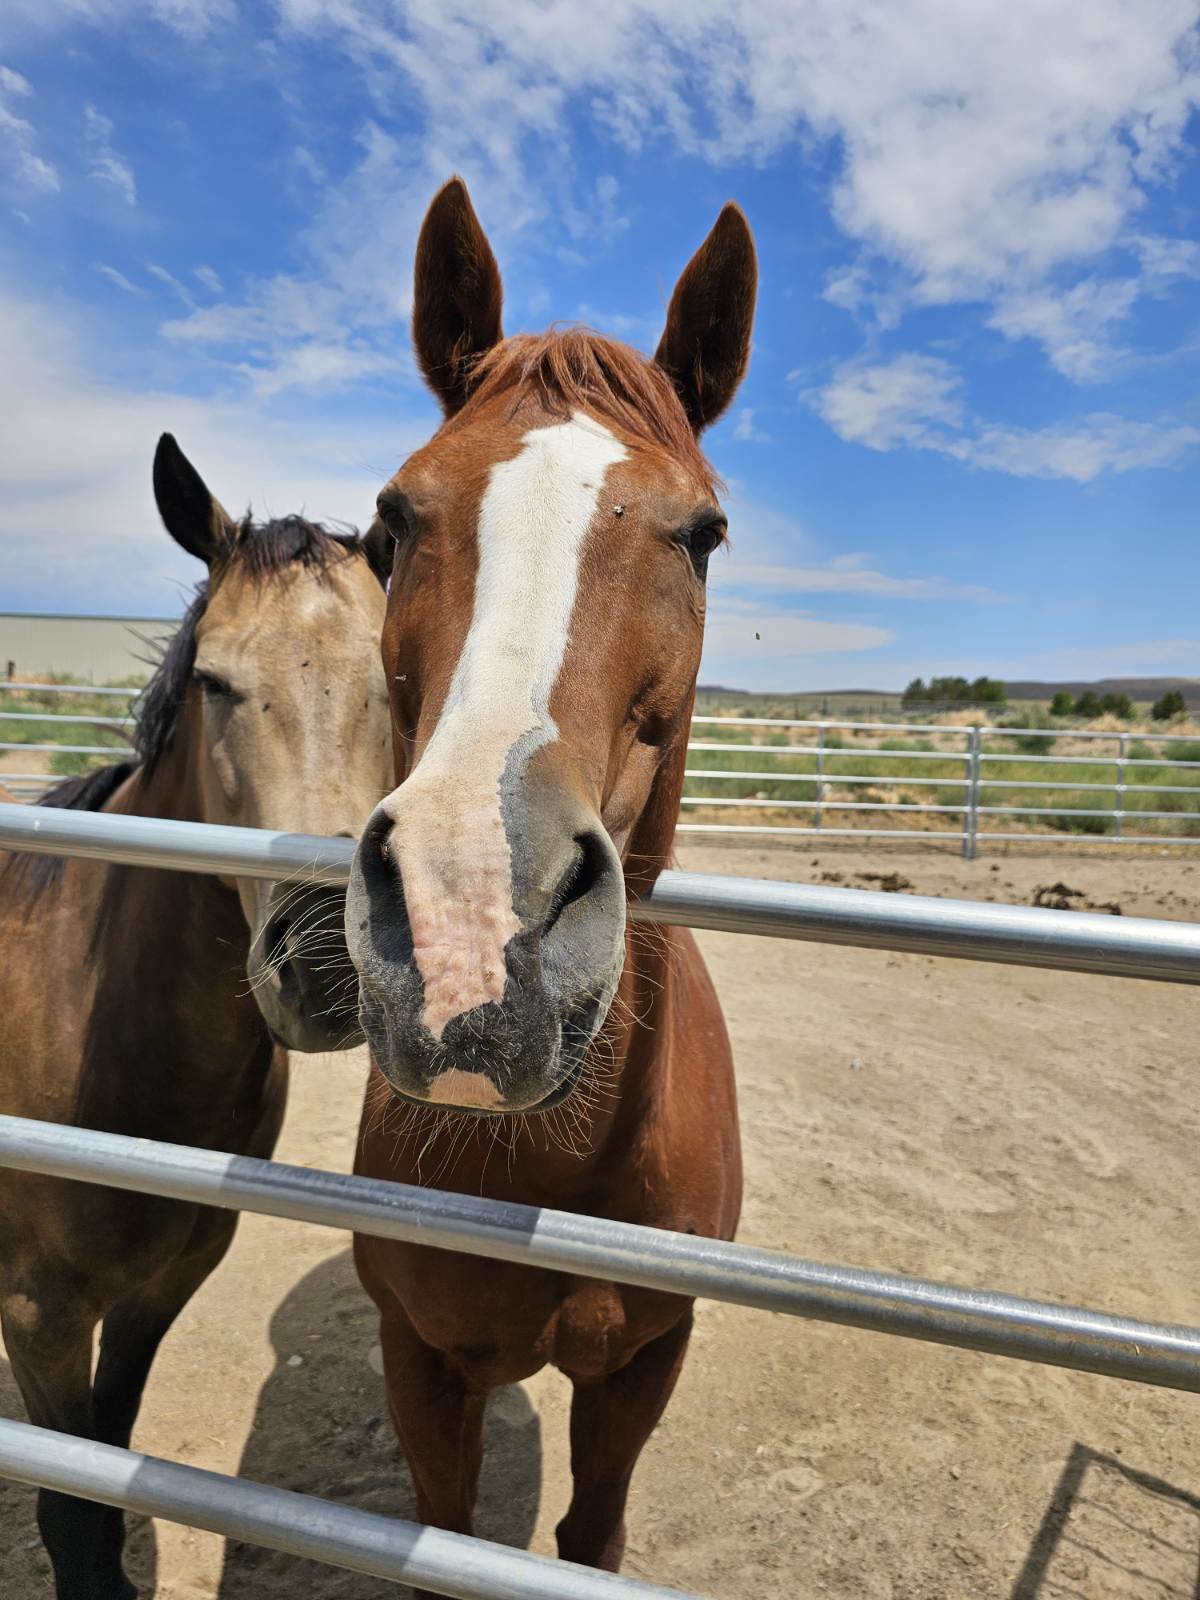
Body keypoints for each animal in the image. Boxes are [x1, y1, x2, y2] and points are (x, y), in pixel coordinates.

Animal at [0, 433, 393, 1600]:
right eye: (215, 682)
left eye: (399, 682)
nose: (328, 962)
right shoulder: (39, 1313)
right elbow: (70, 1509)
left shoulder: (157, 1289)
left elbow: (106, 1466)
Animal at [346, 177, 756, 1585]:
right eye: (391, 521)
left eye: (704, 534)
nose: (475, 916)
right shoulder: (418, 1357)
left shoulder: (646, 1361)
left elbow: (589, 1534)